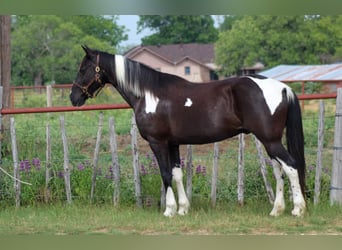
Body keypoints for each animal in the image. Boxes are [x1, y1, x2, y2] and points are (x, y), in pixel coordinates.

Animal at [70, 46, 308, 218]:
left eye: (83, 69)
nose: (73, 97)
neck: (149, 95)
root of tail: (284, 88)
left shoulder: (158, 142)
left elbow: (165, 174)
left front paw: (169, 210)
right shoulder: (173, 143)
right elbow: (177, 174)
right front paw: (183, 208)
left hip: (270, 140)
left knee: (291, 166)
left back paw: (298, 209)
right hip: (270, 141)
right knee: (279, 171)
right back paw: (277, 210)